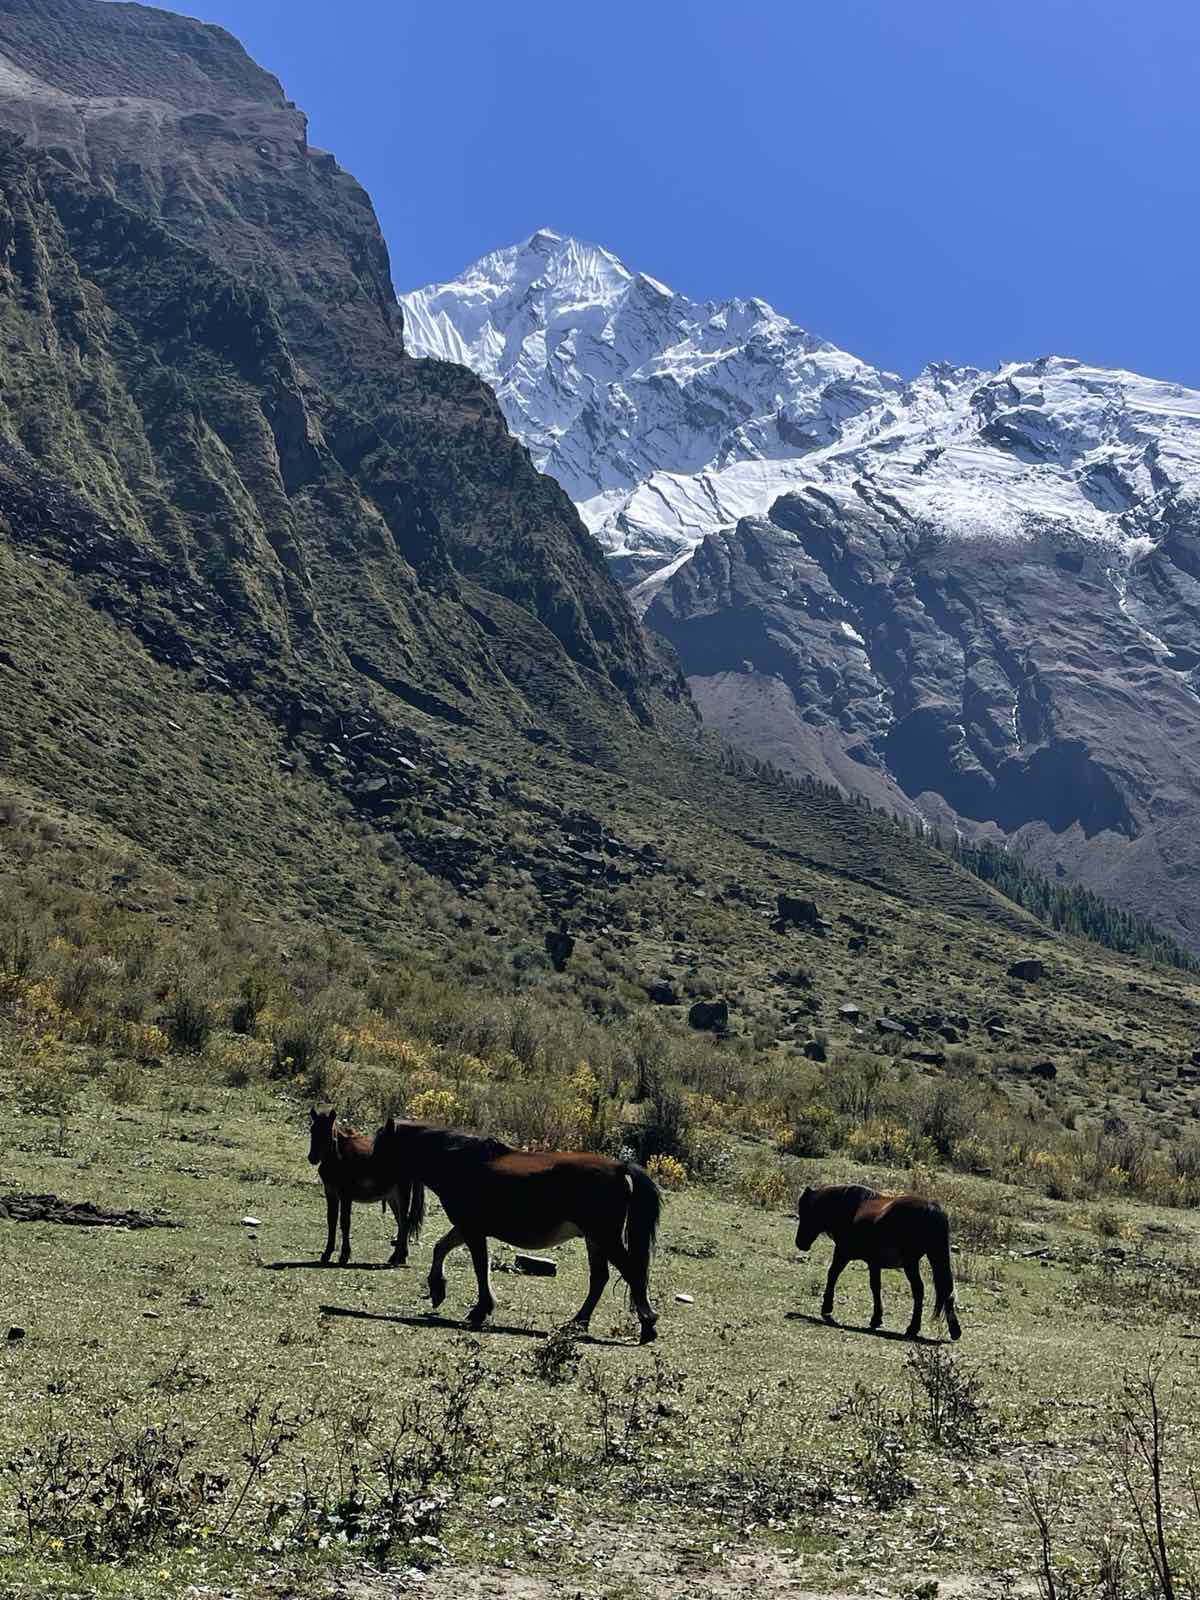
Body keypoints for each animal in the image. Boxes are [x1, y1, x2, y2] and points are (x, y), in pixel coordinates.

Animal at [307, 1107, 425, 1268]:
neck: (338, 1157)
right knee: (401, 1222)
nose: (312, 1158)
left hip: (402, 1193)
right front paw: (326, 1254)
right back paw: (400, 1256)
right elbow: (331, 1221)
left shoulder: (345, 1195)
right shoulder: (330, 1193)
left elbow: (345, 1222)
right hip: (392, 1197)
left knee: (404, 1222)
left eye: (327, 1133)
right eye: (312, 1130)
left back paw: (397, 1257)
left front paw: (344, 1256)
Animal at [373, 1118, 662, 1343]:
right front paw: (437, 1289)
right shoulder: (466, 1227)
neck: (458, 1160)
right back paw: (577, 1323)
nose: (377, 1187)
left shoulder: (472, 1230)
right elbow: (441, 1248)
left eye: (380, 1148)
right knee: (599, 1279)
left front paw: (480, 1310)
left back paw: (647, 1324)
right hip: (595, 1240)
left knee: (631, 1272)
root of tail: (619, 1167)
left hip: (604, 1238)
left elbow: (480, 1267)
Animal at [794, 1183, 961, 1340]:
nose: (800, 1243)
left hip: (911, 1264)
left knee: (919, 1290)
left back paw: (913, 1328)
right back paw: (954, 1331)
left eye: (805, 1212)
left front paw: (826, 1309)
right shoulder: (874, 1263)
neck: (850, 1209)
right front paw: (876, 1318)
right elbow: (875, 1287)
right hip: (934, 1257)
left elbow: (833, 1274)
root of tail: (931, 1208)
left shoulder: (842, 1254)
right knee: (946, 1289)